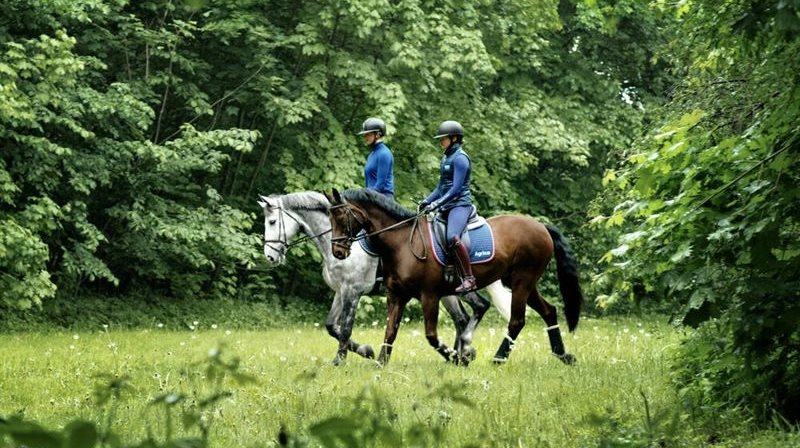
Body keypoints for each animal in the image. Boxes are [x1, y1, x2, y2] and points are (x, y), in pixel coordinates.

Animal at [260, 191, 516, 366]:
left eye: (272, 222)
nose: (270, 257)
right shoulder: (341, 292)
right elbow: (331, 326)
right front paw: (366, 351)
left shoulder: (353, 291)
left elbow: (345, 328)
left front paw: (342, 359)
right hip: (446, 293)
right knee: (462, 318)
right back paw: (457, 355)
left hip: (452, 290)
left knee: (475, 309)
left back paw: (461, 352)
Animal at [324, 187, 580, 366]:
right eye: (329, 217)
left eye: (341, 216)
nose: (338, 252)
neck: (401, 243)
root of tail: (541, 226)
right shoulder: (397, 295)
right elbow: (390, 330)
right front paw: (380, 362)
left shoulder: (429, 296)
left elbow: (431, 336)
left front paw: (457, 357)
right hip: (523, 283)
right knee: (548, 311)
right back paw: (563, 355)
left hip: (521, 282)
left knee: (516, 320)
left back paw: (497, 358)